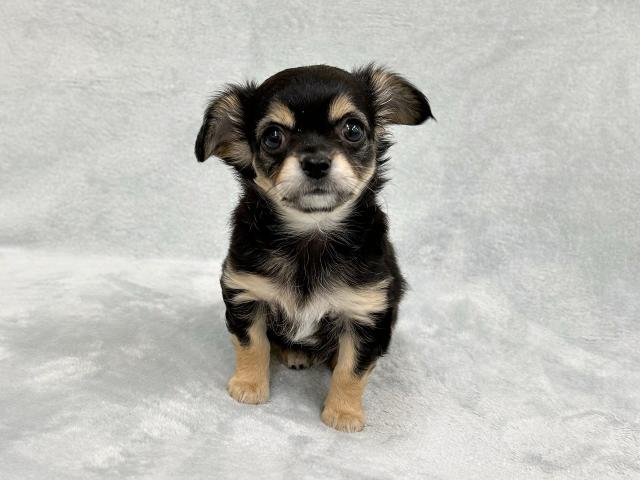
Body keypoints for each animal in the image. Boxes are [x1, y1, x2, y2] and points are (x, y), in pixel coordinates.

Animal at [195, 64, 432, 432]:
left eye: (352, 129)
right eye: (273, 136)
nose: (317, 162)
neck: (311, 234)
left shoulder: (366, 314)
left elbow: (352, 370)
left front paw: (343, 414)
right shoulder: (247, 294)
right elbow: (252, 344)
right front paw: (249, 386)